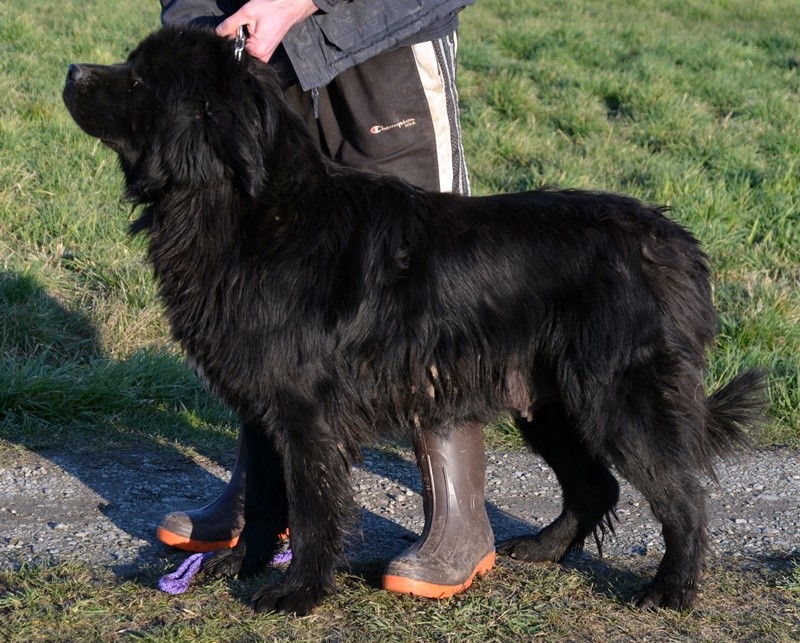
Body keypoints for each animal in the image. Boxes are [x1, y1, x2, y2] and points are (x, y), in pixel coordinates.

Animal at [62, 27, 764, 616]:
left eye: (139, 81)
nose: (70, 69)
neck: (248, 211)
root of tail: (674, 241)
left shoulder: (306, 410)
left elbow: (312, 507)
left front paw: (297, 593)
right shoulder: (262, 405)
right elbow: (263, 496)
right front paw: (241, 564)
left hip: (617, 398)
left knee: (683, 498)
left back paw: (670, 591)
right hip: (548, 402)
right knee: (596, 486)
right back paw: (541, 551)